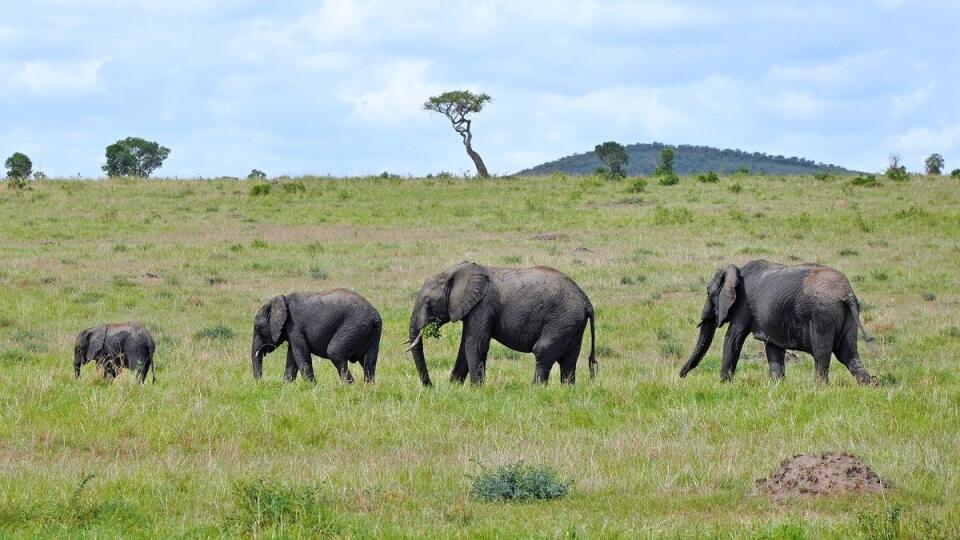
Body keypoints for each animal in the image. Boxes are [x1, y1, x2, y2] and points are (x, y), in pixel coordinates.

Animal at [251, 288, 382, 382]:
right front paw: (286, 386)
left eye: (257, 328)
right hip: (372, 333)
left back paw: (348, 386)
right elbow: (292, 356)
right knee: (368, 362)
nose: (261, 383)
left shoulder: (294, 326)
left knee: (335, 352)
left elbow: (301, 353)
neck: (282, 299)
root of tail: (374, 317)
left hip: (354, 327)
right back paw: (368, 387)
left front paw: (311, 387)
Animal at [406, 260, 600, 384]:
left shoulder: (482, 305)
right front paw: (454, 387)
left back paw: (535, 389)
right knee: (569, 360)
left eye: (428, 303)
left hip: (561, 320)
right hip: (573, 325)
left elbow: (475, 344)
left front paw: (476, 390)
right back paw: (566, 389)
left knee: (543, 352)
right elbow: (464, 346)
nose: (430, 386)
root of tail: (587, 302)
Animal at [676, 260, 876, 384]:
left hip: (822, 315)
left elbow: (733, 339)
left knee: (822, 352)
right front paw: (777, 385)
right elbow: (773, 347)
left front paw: (723, 384)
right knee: (848, 353)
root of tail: (847, 292)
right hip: (848, 315)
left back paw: (818, 387)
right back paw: (871, 383)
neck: (737, 269)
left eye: (709, 293)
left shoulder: (743, 305)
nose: (681, 376)